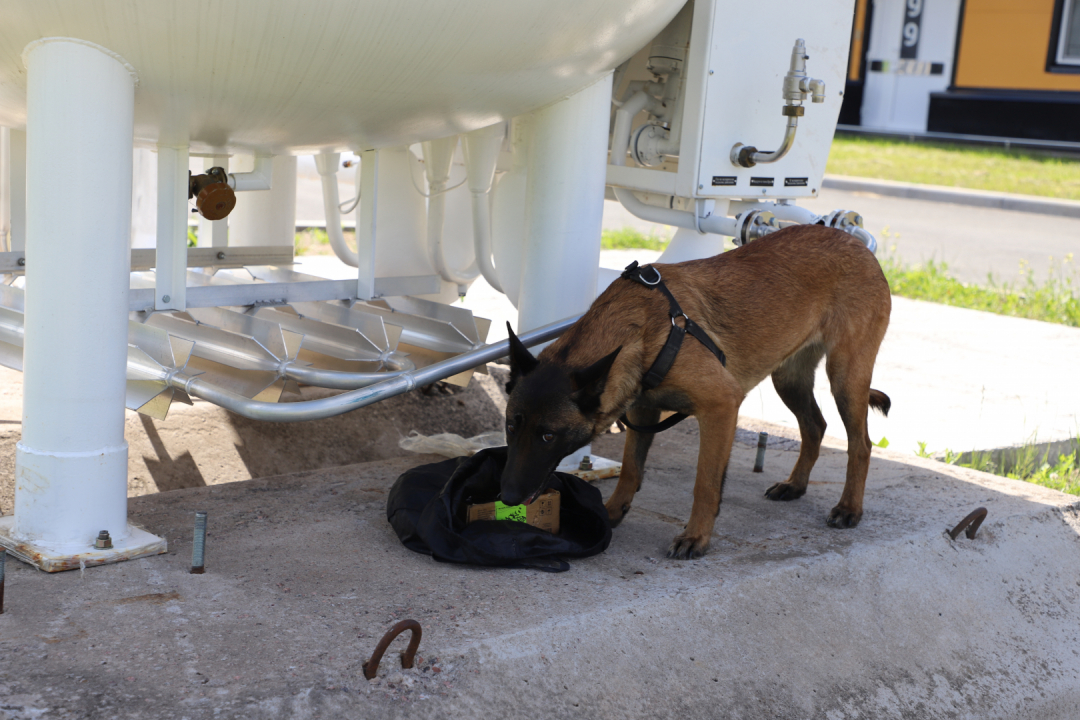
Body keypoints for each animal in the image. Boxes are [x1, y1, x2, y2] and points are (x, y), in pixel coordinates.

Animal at [501, 223, 889, 557]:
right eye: (510, 426)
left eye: (548, 436)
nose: (507, 496)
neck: (640, 329)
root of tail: (858, 245)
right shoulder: (644, 410)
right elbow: (630, 469)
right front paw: (611, 512)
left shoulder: (721, 407)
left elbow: (705, 483)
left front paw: (696, 537)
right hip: (788, 380)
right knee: (815, 426)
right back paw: (796, 485)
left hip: (845, 377)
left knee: (861, 444)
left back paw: (849, 507)